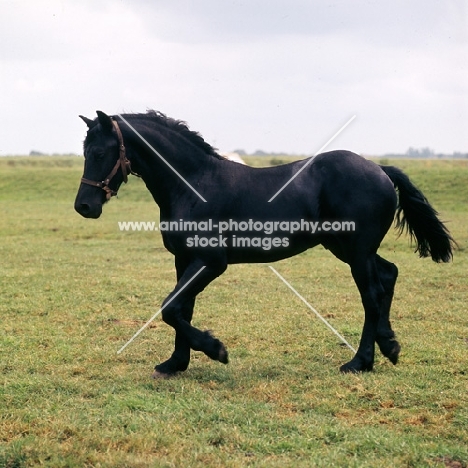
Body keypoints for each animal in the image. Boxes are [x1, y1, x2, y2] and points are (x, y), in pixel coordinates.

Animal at [74, 110, 454, 376]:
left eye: (101, 152)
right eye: (85, 151)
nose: (84, 206)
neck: (193, 185)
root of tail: (379, 169)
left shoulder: (211, 262)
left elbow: (171, 308)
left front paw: (216, 349)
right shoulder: (184, 260)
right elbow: (181, 308)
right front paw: (175, 364)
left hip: (357, 251)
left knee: (372, 295)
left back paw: (360, 361)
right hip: (348, 249)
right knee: (389, 275)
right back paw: (389, 345)